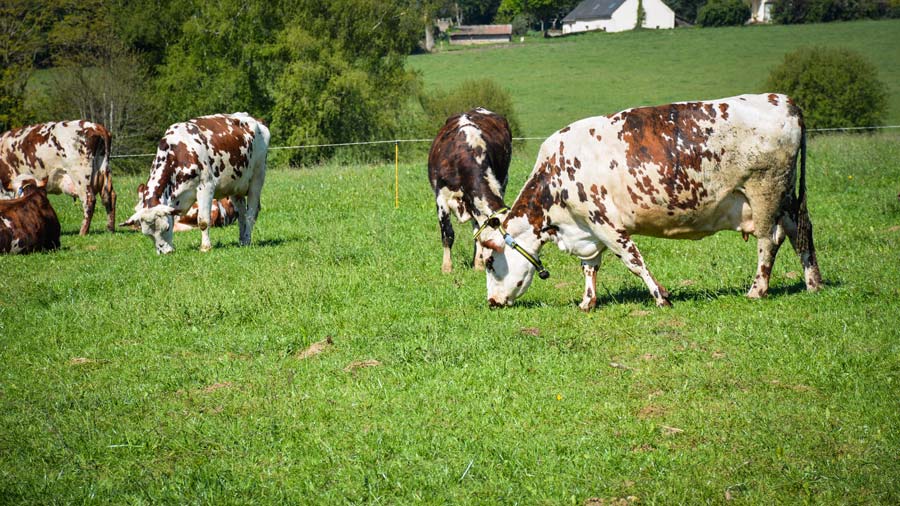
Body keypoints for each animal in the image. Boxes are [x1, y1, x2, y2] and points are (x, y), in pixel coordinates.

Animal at [120, 110, 268, 253]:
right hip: (235, 187)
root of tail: (256, 120)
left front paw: (205, 247)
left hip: (257, 178)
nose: (166, 252)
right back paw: (242, 240)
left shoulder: (206, 186)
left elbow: (203, 221)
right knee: (242, 215)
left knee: (251, 214)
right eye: (147, 234)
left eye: (166, 228)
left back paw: (247, 239)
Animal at [428, 107, 510, 272]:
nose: (493, 264)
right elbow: (448, 234)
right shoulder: (441, 197)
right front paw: (447, 268)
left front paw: (478, 265)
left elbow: (478, 233)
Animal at [482, 94, 828, 308]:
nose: (491, 302)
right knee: (800, 233)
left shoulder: (605, 222)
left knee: (768, 241)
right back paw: (813, 283)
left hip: (765, 192)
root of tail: (783, 100)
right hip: (785, 198)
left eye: (489, 262)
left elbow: (633, 261)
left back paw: (757, 290)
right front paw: (587, 302)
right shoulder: (588, 229)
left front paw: (661, 296)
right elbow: (590, 267)